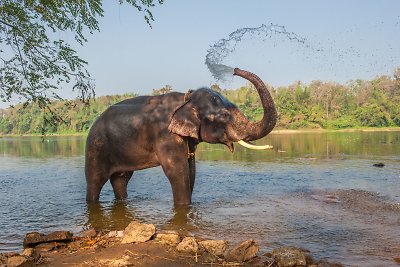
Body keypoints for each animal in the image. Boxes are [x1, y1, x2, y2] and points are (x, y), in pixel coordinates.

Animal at [85, 68, 276, 206]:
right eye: (224, 116)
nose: (235, 70)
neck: (187, 98)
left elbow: (191, 169)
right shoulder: (165, 135)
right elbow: (177, 170)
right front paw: (183, 208)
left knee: (121, 179)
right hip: (96, 147)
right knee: (95, 181)